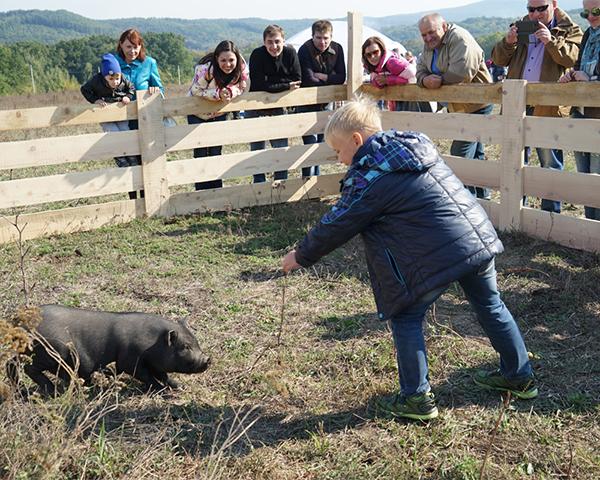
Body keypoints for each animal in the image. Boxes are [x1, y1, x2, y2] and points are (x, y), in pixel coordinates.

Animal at [9, 304, 211, 394]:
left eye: (196, 341)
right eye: (185, 346)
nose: (208, 359)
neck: (152, 343)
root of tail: (18, 323)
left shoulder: (154, 363)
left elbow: (164, 375)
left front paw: (179, 386)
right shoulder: (130, 360)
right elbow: (145, 376)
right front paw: (160, 390)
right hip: (50, 353)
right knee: (30, 369)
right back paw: (52, 389)